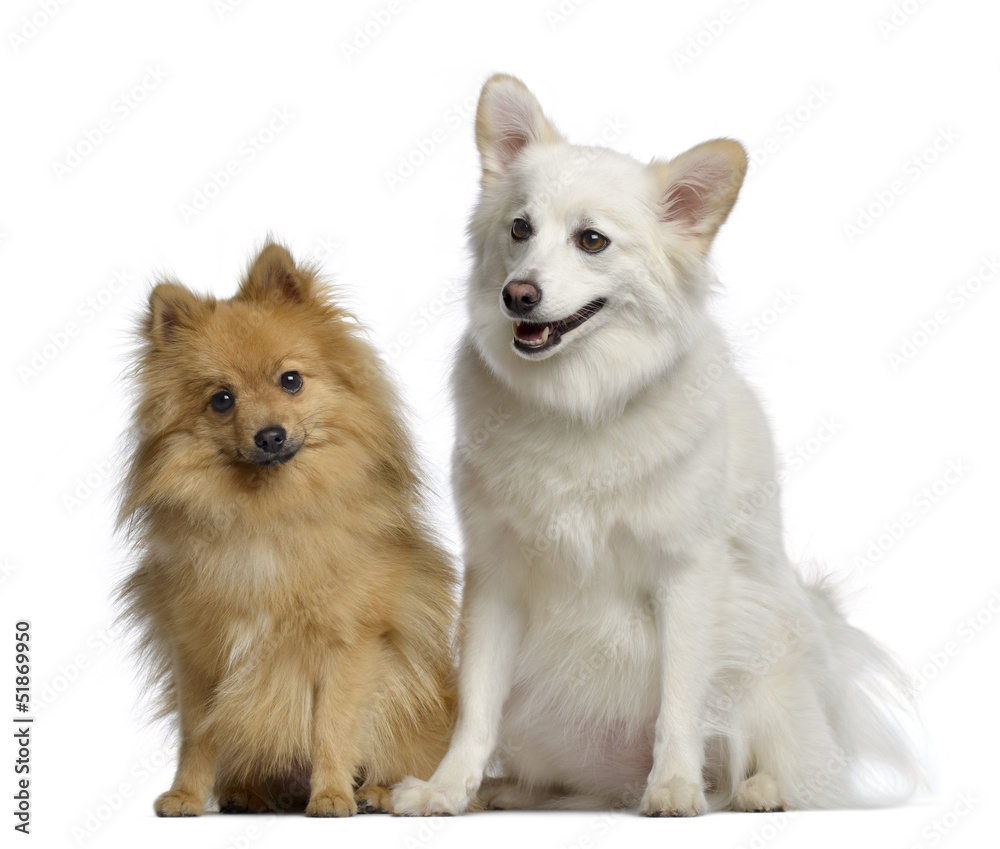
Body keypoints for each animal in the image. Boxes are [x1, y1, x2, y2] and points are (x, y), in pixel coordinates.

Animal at [117, 243, 458, 816]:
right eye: (222, 399)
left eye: (291, 380)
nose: (270, 435)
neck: (266, 514)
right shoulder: (199, 651)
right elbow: (198, 735)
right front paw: (187, 794)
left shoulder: (347, 645)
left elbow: (332, 727)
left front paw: (331, 795)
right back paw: (247, 793)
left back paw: (379, 792)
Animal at [392, 74, 920, 816]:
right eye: (520, 229)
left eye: (592, 241)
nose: (517, 294)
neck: (580, 400)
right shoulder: (496, 578)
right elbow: (476, 706)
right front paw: (447, 788)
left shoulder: (687, 579)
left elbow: (681, 700)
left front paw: (673, 785)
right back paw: (507, 789)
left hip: (763, 647)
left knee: (793, 763)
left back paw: (759, 789)